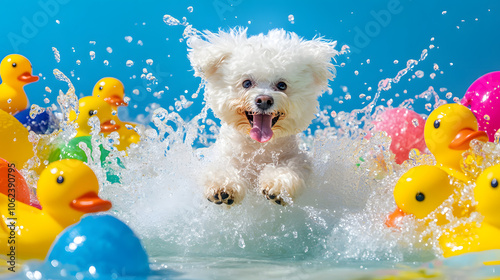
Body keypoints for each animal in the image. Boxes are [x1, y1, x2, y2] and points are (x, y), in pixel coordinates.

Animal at [188, 28, 340, 206]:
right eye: (246, 83)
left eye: (282, 85)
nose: (264, 100)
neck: (258, 149)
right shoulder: (223, 156)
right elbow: (220, 169)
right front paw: (223, 186)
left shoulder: (298, 159)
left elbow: (290, 168)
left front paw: (278, 184)